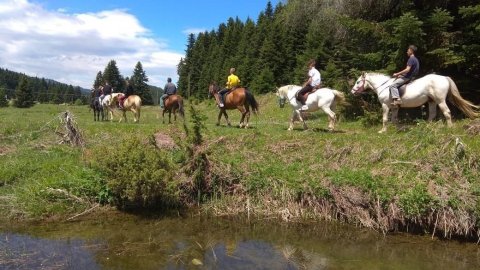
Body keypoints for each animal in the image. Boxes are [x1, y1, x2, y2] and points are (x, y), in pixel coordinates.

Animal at [350, 73, 478, 133]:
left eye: (358, 82)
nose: (352, 92)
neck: (384, 86)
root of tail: (444, 77)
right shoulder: (395, 107)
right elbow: (394, 119)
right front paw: (400, 129)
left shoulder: (385, 105)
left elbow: (385, 119)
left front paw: (383, 131)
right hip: (432, 101)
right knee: (432, 114)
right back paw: (427, 127)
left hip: (440, 100)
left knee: (446, 112)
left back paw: (450, 128)